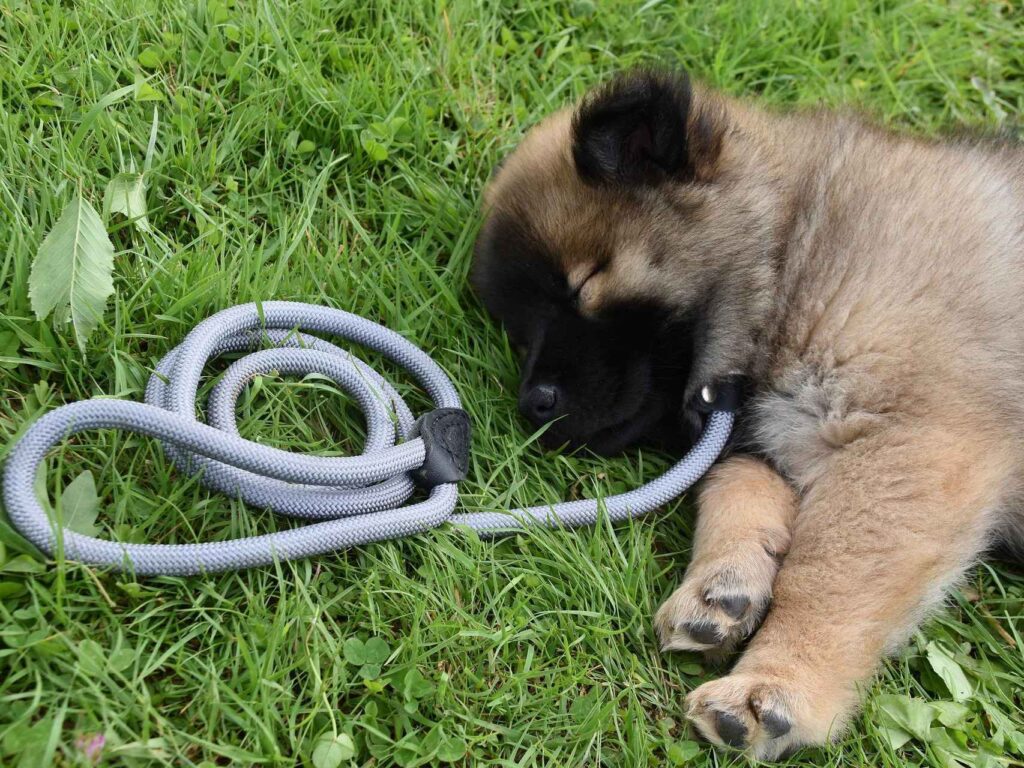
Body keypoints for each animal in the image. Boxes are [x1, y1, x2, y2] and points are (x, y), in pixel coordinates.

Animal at [468, 70, 1024, 757]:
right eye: (519, 333)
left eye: (583, 284)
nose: (533, 405)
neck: (791, 252)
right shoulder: (760, 441)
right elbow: (735, 493)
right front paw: (722, 588)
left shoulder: (912, 442)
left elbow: (830, 574)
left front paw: (778, 684)